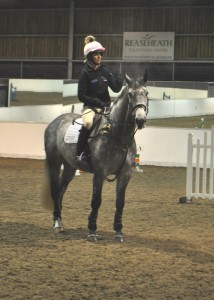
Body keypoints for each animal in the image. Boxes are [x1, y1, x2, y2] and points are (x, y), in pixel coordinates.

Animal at [41, 71, 149, 243]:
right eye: (130, 94)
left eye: (146, 93)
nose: (140, 120)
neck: (117, 134)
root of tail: (55, 122)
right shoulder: (99, 173)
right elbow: (96, 201)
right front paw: (92, 231)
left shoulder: (125, 174)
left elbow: (120, 202)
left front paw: (118, 232)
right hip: (54, 163)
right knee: (55, 189)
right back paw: (57, 224)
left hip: (70, 167)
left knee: (61, 190)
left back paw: (59, 221)